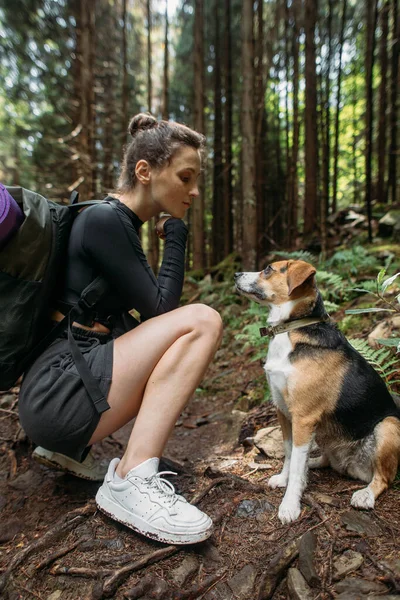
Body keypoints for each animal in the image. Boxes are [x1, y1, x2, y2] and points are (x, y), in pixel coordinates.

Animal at [234, 260, 400, 524]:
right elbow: (289, 453)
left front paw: (290, 506)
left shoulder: (303, 417)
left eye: (268, 269)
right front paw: (285, 478)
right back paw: (312, 465)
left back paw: (365, 494)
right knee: (322, 460)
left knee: (384, 477)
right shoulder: (282, 411)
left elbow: (295, 465)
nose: (236, 274)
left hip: (389, 425)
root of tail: (350, 465)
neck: (289, 329)